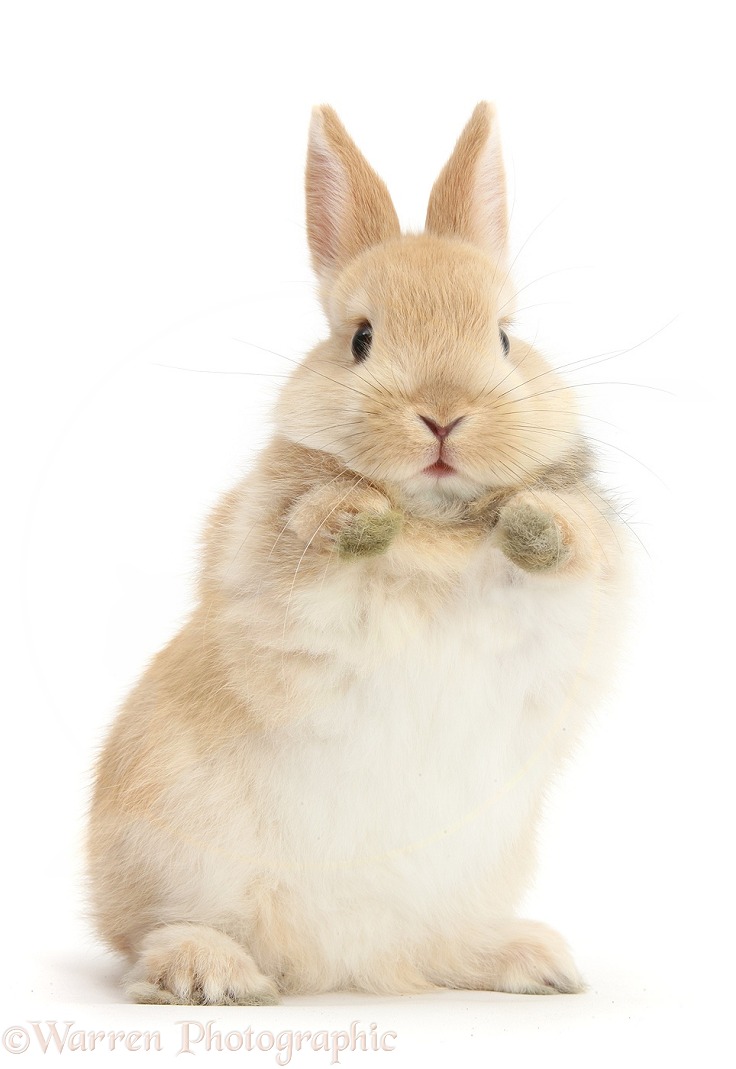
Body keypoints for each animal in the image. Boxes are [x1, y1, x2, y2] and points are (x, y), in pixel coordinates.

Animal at [85, 100, 624, 1000]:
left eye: (505, 338)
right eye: (361, 339)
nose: (442, 413)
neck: (434, 519)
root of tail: (348, 963)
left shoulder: (585, 579)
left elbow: (568, 537)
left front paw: (529, 526)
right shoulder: (266, 558)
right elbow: (307, 530)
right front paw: (359, 517)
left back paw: (531, 960)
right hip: (168, 850)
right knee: (152, 934)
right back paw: (210, 970)